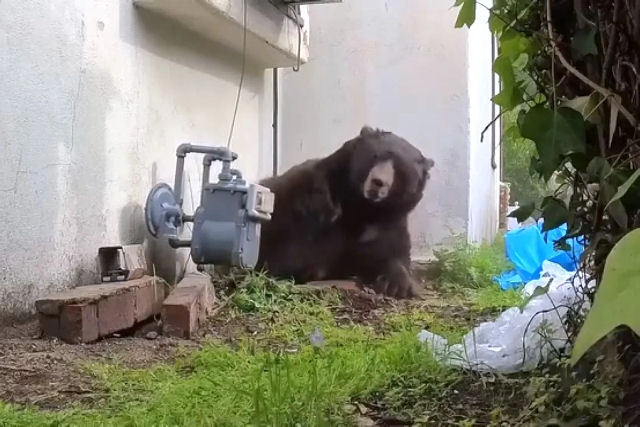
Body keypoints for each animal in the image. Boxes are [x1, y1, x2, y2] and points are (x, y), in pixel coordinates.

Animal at [256, 126, 434, 299]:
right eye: (375, 156)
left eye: (401, 169)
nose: (378, 182)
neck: (361, 205)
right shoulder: (307, 197)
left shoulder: (388, 220)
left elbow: (389, 251)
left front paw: (397, 285)